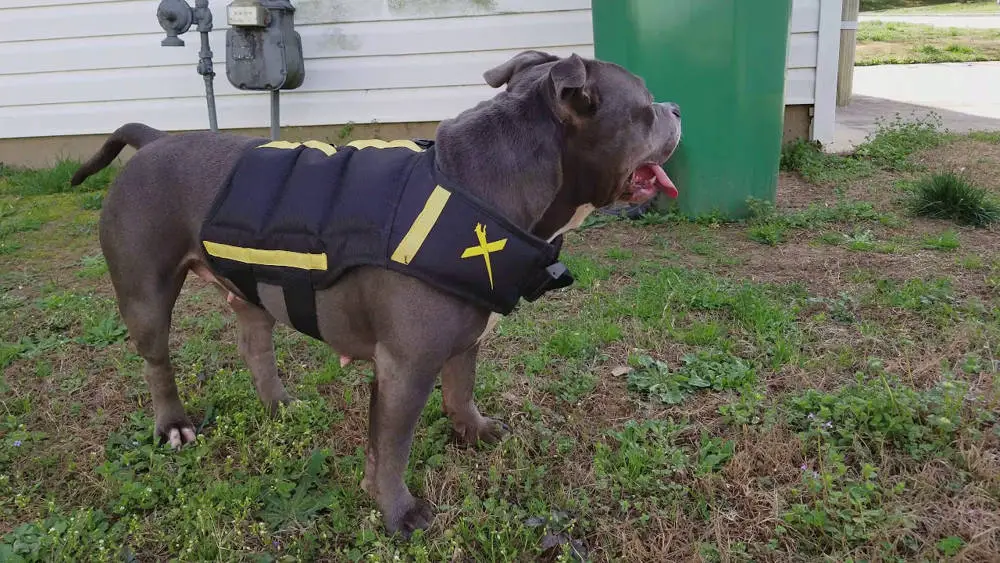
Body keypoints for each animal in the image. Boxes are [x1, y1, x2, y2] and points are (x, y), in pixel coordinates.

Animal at [70, 49, 680, 536]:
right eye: (646, 105)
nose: (676, 108)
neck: (482, 190)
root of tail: (154, 140)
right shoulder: (404, 368)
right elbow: (391, 448)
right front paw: (399, 513)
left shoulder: (464, 339)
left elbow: (461, 390)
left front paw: (474, 431)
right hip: (146, 295)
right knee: (157, 361)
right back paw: (174, 424)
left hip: (250, 289)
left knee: (255, 343)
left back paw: (279, 404)